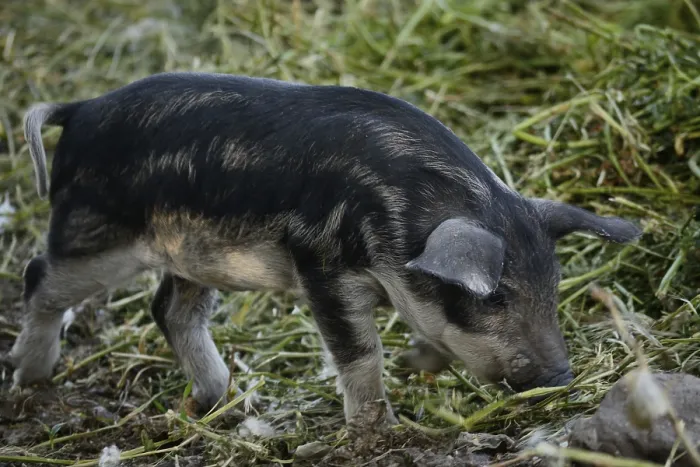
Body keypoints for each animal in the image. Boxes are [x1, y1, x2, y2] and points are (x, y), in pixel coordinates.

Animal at [11, 72, 642, 424]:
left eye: (553, 290)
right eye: (495, 299)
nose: (561, 375)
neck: (399, 214)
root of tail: (82, 109)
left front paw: (418, 365)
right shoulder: (321, 264)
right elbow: (359, 351)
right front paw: (376, 428)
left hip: (194, 256)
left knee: (168, 309)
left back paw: (225, 399)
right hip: (96, 234)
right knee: (40, 276)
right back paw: (31, 377)